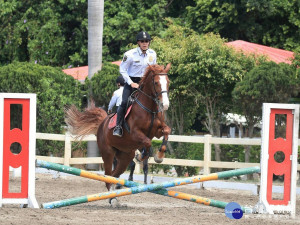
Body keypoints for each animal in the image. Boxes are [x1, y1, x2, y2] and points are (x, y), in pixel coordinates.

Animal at [64, 62, 170, 206]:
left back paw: (114, 195)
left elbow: (167, 131)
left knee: (114, 175)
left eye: (168, 82)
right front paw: (141, 156)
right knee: (108, 176)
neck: (150, 109)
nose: (165, 105)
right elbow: (147, 143)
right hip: (108, 154)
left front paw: (159, 156)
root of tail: (102, 123)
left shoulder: (158, 131)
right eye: (156, 82)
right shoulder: (135, 133)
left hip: (124, 156)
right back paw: (112, 198)